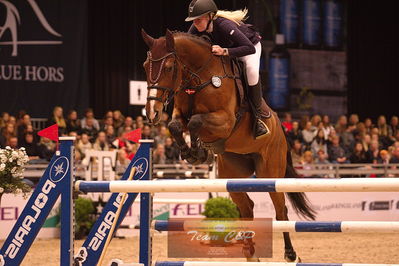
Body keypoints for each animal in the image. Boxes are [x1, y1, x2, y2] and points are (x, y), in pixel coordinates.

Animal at [142, 29, 318, 262]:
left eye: (169, 67)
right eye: (145, 66)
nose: (152, 112)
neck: (198, 75)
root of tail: (281, 130)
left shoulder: (225, 120)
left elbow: (196, 121)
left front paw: (197, 151)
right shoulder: (180, 114)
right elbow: (175, 125)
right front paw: (195, 153)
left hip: (270, 173)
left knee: (281, 211)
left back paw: (291, 255)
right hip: (232, 174)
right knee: (247, 207)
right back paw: (250, 253)